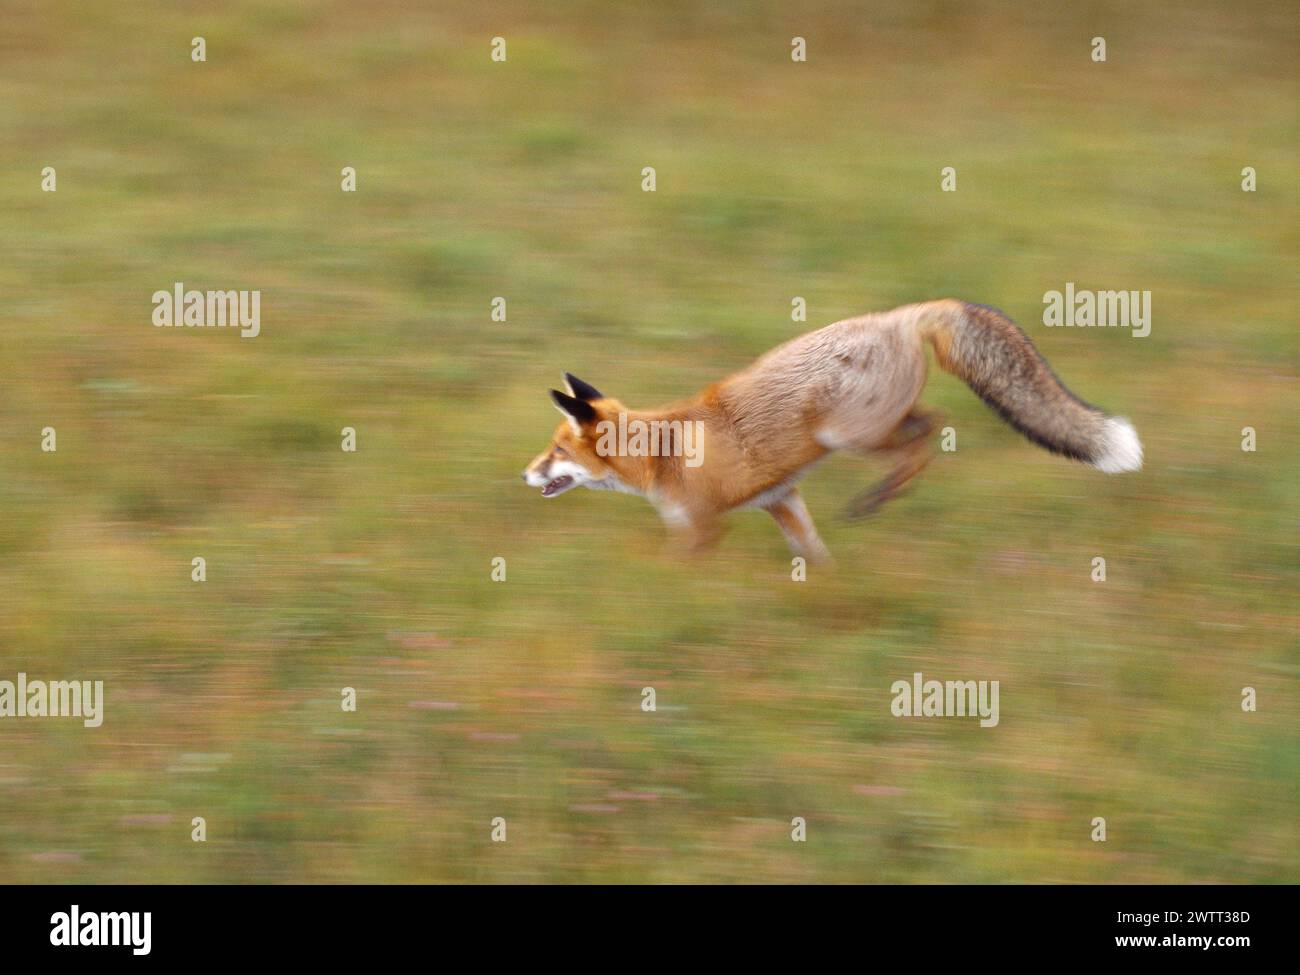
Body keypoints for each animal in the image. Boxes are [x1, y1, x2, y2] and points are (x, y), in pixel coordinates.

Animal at [517, 297, 1138, 561]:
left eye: (554, 450)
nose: (523, 474)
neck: (661, 454)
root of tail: (899, 315)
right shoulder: (782, 500)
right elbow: (815, 555)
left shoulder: (701, 527)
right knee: (933, 424)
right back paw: (882, 497)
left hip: (849, 437)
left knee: (927, 435)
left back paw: (875, 499)